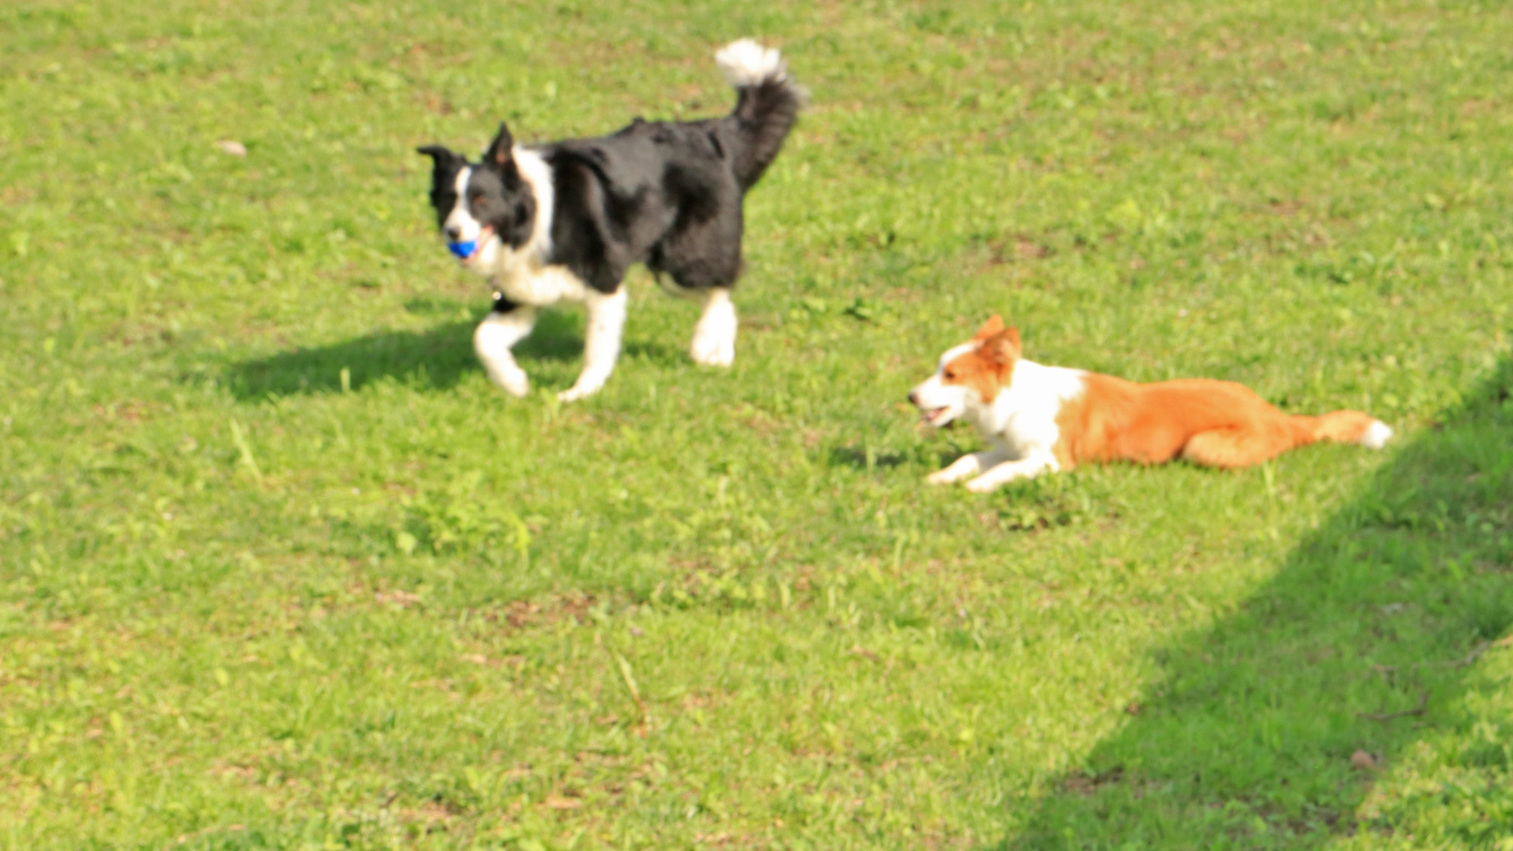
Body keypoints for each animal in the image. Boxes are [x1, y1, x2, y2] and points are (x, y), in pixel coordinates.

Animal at [417, 38, 804, 396]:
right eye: (448, 200)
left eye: (481, 199)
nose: (452, 233)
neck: (538, 217)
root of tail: (713, 136)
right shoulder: (523, 293)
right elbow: (483, 338)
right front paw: (515, 383)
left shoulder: (605, 282)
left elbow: (597, 348)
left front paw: (579, 394)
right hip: (668, 267)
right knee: (723, 294)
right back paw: (719, 354)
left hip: (683, 259)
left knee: (720, 289)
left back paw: (705, 344)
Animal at [907, 314, 1391, 490]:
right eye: (938, 368)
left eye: (950, 375)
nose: (909, 395)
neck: (1015, 400)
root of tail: (1285, 418)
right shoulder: (1007, 446)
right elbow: (971, 458)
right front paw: (941, 477)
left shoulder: (1052, 461)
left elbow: (1003, 471)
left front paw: (977, 487)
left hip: (1203, 446)